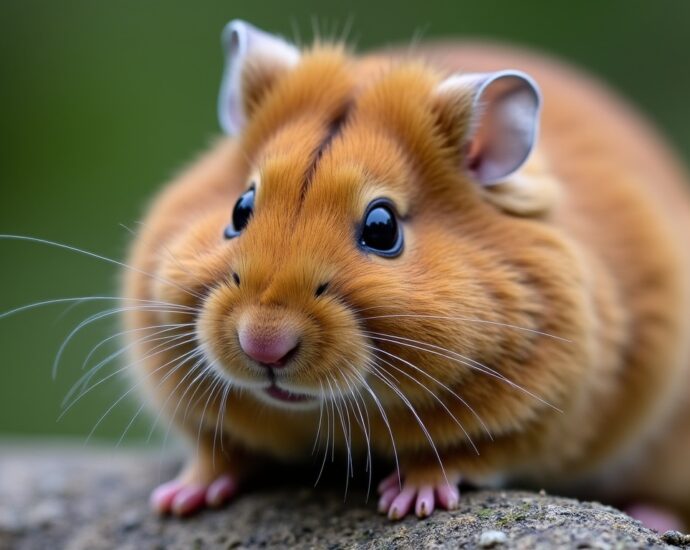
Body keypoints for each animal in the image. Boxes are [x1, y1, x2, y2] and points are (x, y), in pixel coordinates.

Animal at [123, 20, 690, 526]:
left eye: (382, 228)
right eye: (240, 210)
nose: (263, 346)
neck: (327, 411)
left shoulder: (544, 413)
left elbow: (467, 454)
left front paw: (406, 503)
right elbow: (216, 451)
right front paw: (175, 503)